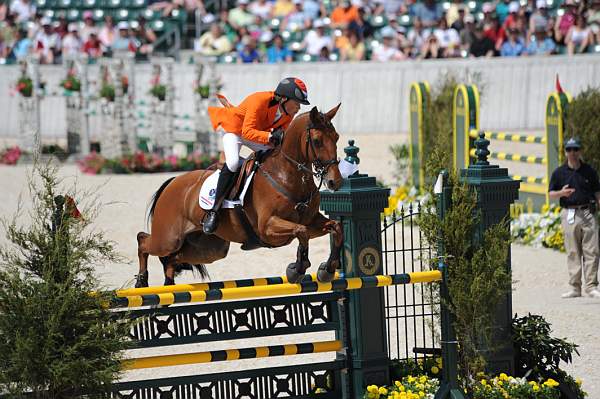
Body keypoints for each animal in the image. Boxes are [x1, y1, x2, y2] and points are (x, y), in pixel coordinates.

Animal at [134, 105, 344, 288]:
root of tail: (172, 182)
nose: (335, 182)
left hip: (210, 249)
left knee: (172, 259)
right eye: (317, 141)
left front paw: (327, 269)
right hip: (168, 239)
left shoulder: (312, 220)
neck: (287, 175)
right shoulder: (267, 227)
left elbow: (335, 227)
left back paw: (167, 283)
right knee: (143, 240)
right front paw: (297, 269)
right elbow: (301, 232)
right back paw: (142, 282)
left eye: (336, 137)